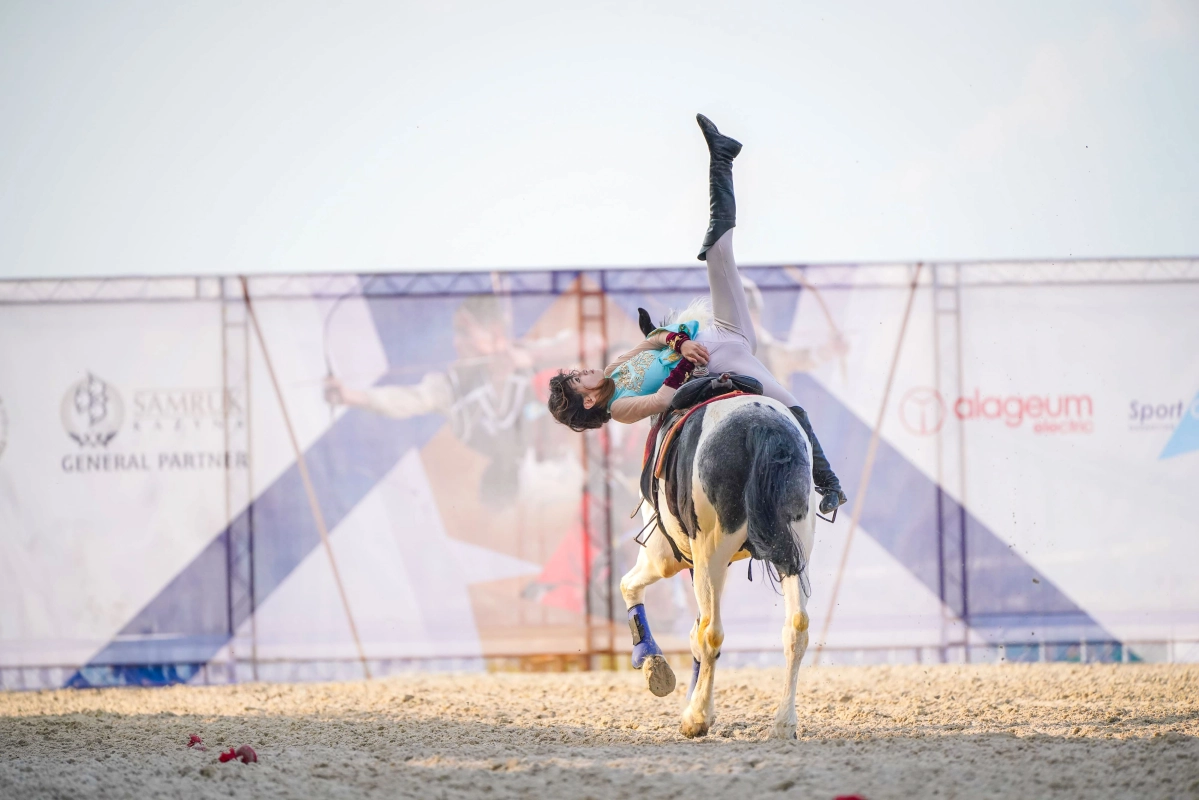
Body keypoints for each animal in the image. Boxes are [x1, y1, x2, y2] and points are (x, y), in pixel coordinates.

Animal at [618, 393, 815, 738]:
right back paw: (783, 723)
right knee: (796, 628)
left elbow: (629, 585)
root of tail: (761, 428)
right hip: (794, 551)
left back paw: (697, 717)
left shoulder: (664, 556)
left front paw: (651, 660)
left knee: (712, 633)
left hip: (710, 554)